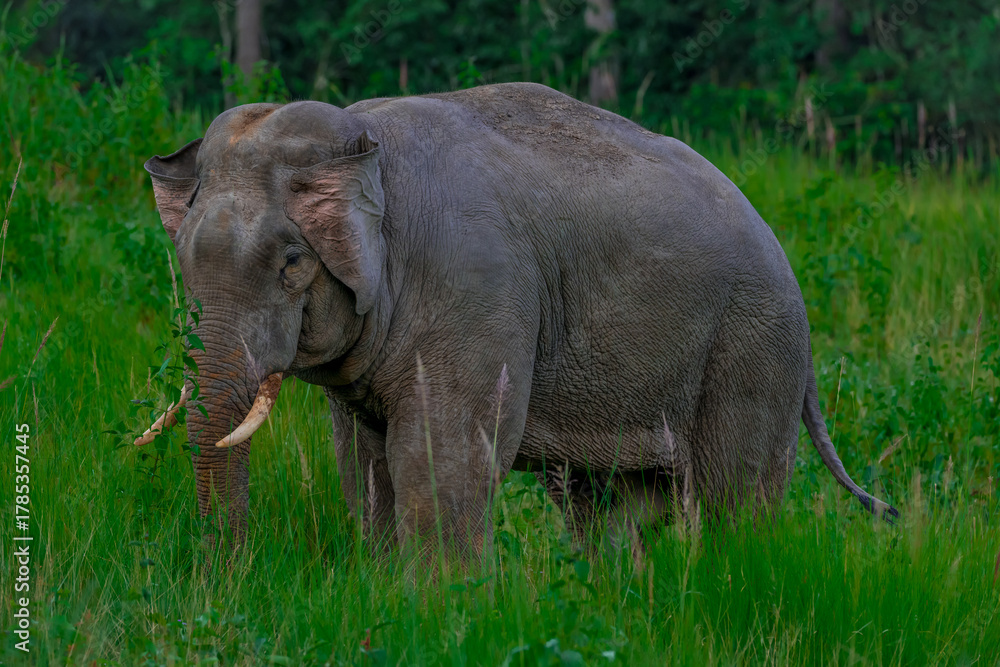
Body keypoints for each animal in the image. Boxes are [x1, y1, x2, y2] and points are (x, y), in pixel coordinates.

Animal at [135, 82, 897, 554]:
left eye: (291, 263)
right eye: (184, 263)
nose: (227, 573)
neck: (367, 136)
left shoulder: (473, 287)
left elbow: (441, 454)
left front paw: (437, 610)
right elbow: (365, 463)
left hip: (752, 345)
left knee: (732, 498)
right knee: (610, 504)